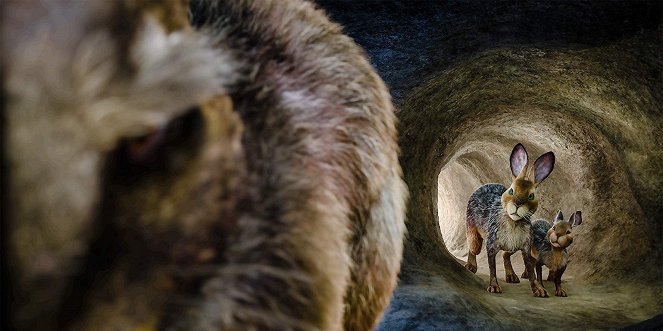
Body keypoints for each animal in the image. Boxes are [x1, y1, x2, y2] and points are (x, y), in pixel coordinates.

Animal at [464, 143, 556, 298]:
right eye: (511, 191)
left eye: (531, 195)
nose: (517, 204)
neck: (513, 222)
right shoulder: (491, 245)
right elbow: (492, 268)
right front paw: (494, 287)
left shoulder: (525, 247)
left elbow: (531, 271)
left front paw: (540, 291)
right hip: (472, 230)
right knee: (473, 248)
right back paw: (470, 267)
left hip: (512, 248)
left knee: (505, 255)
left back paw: (512, 276)